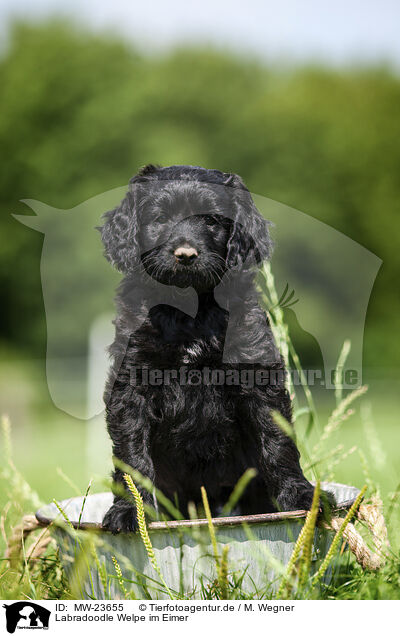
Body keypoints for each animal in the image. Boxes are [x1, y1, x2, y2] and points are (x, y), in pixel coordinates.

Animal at [100, 164, 332, 532]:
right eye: (160, 219)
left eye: (211, 221)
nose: (185, 255)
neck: (190, 311)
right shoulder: (131, 383)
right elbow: (132, 456)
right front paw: (130, 511)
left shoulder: (257, 373)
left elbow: (277, 442)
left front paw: (300, 496)